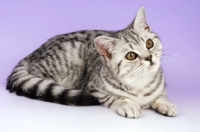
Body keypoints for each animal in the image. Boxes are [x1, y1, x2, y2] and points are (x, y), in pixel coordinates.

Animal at [6, 6, 178, 118]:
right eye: (131, 55)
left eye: (149, 43)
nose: (149, 57)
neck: (140, 83)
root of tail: (35, 52)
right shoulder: (95, 89)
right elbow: (115, 97)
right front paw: (128, 104)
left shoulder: (161, 87)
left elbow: (160, 95)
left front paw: (166, 104)